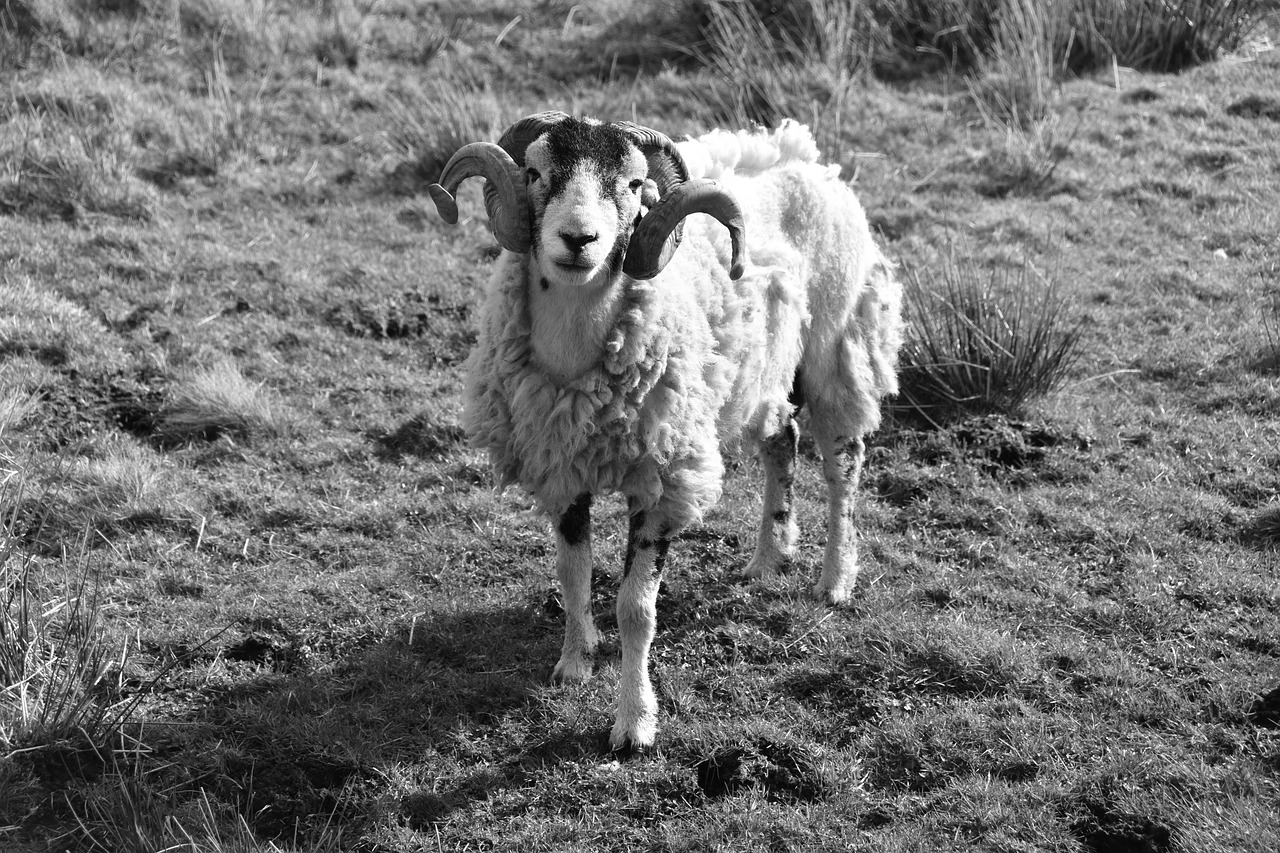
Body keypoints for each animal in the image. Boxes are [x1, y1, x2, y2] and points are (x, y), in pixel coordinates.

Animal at [427, 109, 901, 747]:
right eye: (534, 173)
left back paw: (834, 581)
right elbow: (573, 575)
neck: (575, 357)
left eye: (633, 186)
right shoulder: (562, 465)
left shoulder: (661, 481)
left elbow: (635, 609)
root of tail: (805, 155)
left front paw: (634, 723)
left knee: (843, 466)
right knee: (783, 441)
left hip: (838, 347)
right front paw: (573, 663)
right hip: (760, 369)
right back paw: (768, 558)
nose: (578, 241)